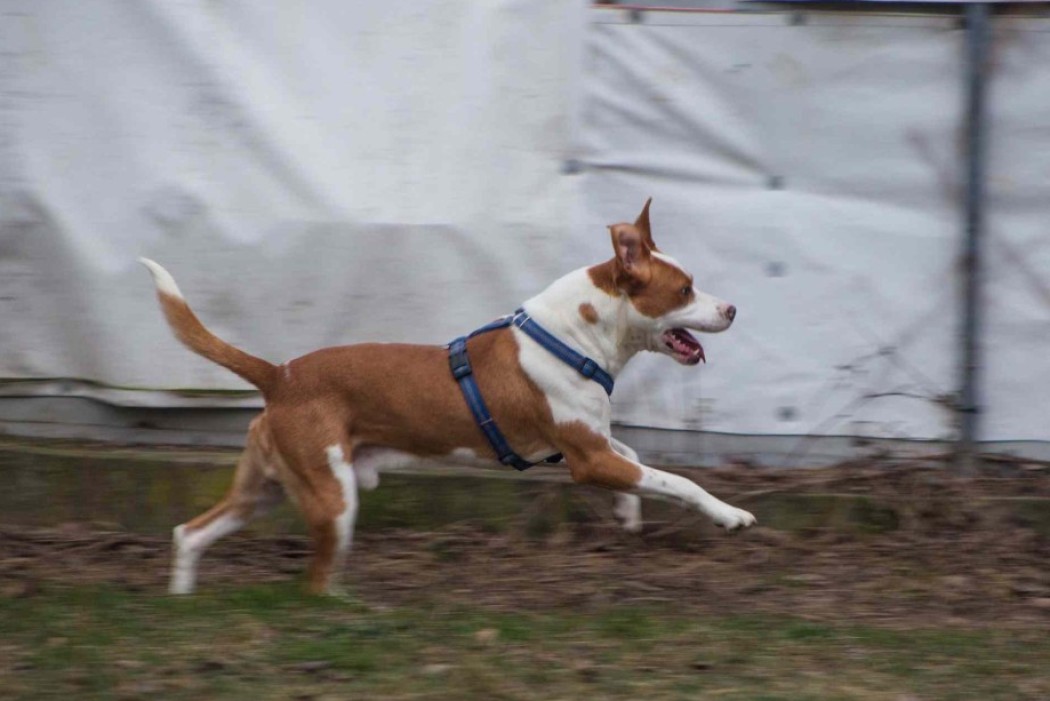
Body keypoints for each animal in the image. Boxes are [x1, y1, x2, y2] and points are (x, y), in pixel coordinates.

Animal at [141, 199, 756, 595]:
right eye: (685, 289)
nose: (732, 308)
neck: (574, 337)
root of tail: (279, 375)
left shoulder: (594, 444)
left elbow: (637, 457)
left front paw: (628, 511)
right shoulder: (586, 457)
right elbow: (677, 481)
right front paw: (730, 515)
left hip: (265, 490)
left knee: (189, 534)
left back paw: (182, 600)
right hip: (333, 500)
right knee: (313, 583)